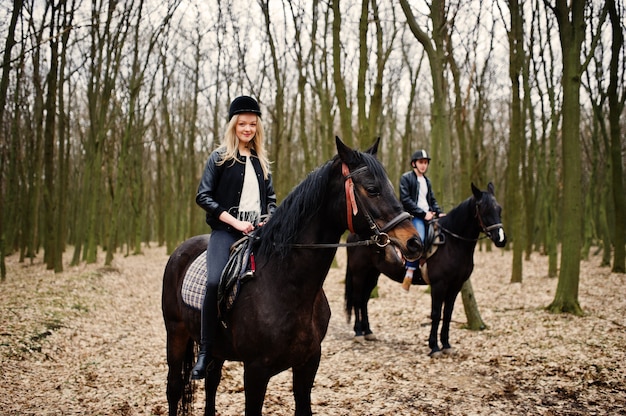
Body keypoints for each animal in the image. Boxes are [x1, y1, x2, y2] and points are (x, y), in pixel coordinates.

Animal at [162, 137, 424, 416]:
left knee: (212, 382)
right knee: (174, 387)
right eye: (373, 189)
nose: (414, 243)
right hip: (176, 333)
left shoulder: (307, 365)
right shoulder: (255, 371)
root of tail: (180, 250)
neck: (286, 285)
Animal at [344, 183, 504, 358]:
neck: (453, 244)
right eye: (484, 208)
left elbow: (447, 314)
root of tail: (354, 236)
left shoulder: (456, 285)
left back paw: (368, 331)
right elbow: (436, 314)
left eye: (499, 209)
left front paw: (446, 345)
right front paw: (434, 347)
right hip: (359, 273)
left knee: (364, 299)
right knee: (357, 298)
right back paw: (358, 333)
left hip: (373, 274)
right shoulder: (439, 284)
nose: (501, 239)